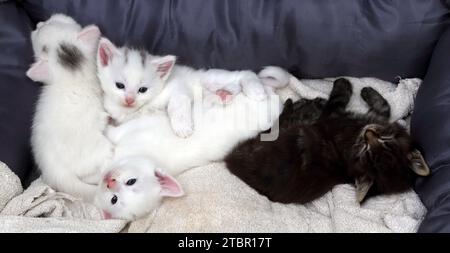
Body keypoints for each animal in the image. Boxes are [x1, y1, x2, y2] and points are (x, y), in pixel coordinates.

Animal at [27, 15, 113, 202]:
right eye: (39, 28)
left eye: (49, 21)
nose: (37, 23)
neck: (73, 75)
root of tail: (54, 171)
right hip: (100, 149)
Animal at [225, 78, 428, 205]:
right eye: (368, 149)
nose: (368, 134)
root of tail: (231, 162)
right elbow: (385, 106)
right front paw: (367, 91)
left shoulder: (333, 115)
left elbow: (337, 99)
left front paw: (342, 85)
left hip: (278, 133)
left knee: (283, 120)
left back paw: (300, 105)